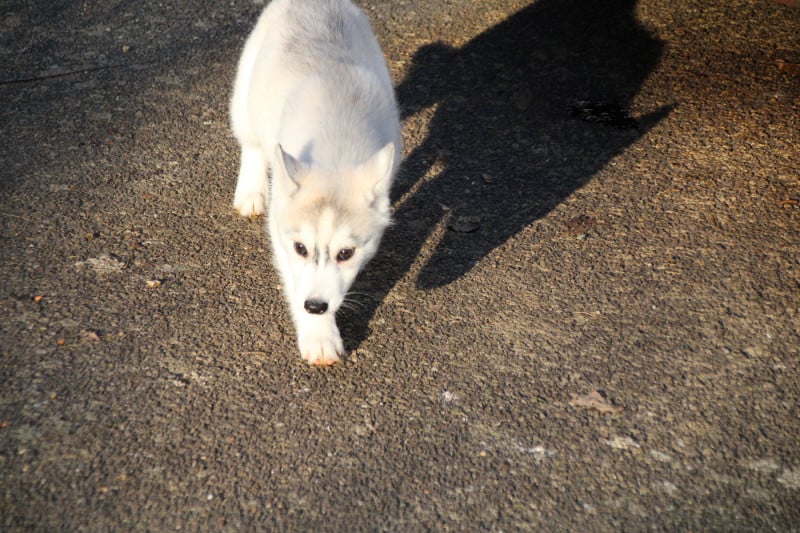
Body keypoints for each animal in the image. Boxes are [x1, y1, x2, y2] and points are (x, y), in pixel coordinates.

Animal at [230, 0, 401, 365]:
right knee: (251, 143)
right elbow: (295, 279)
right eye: (301, 248)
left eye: (346, 253)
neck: (336, 146)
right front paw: (319, 336)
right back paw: (250, 191)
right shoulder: (280, 232)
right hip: (244, 98)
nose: (316, 306)